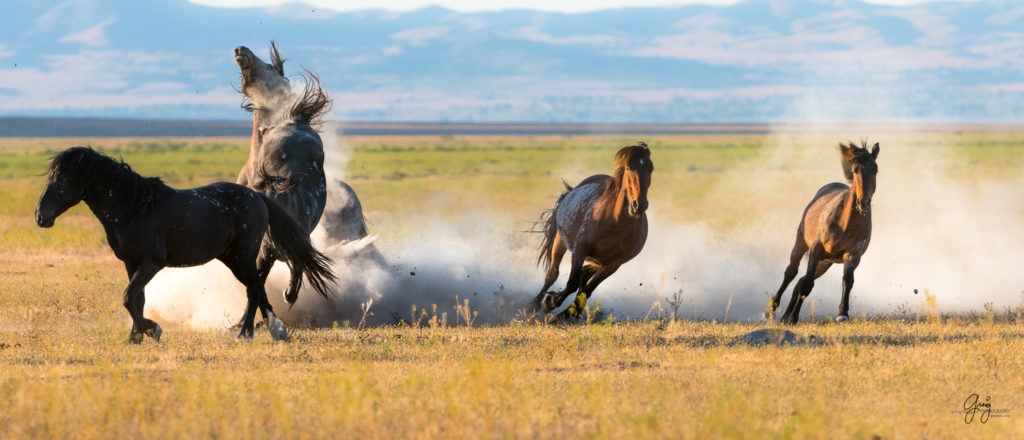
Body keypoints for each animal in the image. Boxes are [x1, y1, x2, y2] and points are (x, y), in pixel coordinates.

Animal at [32, 146, 333, 341]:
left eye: (61, 178)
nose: (40, 216)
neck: (133, 207)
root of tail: (257, 197)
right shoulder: (131, 263)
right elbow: (137, 298)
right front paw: (136, 336)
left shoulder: (152, 263)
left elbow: (129, 297)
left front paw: (152, 330)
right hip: (230, 258)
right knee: (256, 287)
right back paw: (272, 329)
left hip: (244, 254)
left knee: (254, 288)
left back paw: (247, 333)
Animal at [532, 143, 651, 319]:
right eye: (629, 168)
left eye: (650, 168)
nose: (639, 205)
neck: (615, 222)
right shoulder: (580, 249)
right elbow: (572, 283)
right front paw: (550, 302)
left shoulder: (613, 264)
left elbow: (587, 290)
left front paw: (565, 314)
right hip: (560, 240)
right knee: (552, 274)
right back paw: (534, 304)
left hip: (597, 262)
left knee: (584, 277)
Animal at [770, 141, 880, 323]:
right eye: (855, 170)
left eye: (875, 170)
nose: (863, 202)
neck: (845, 224)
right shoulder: (816, 249)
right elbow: (807, 283)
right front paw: (793, 318)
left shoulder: (853, 254)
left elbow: (847, 281)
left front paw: (843, 313)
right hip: (801, 243)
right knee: (791, 273)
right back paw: (773, 308)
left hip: (826, 262)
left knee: (800, 281)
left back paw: (785, 316)